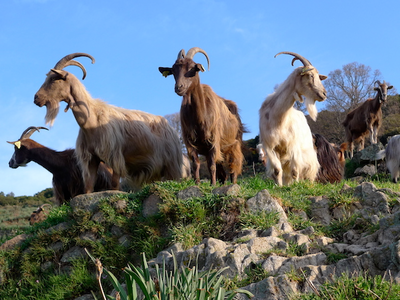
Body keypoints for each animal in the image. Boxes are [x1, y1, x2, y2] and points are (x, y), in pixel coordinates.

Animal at [158, 47, 245, 185]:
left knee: (233, 166)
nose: (179, 87)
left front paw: (212, 184)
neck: (200, 117)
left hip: (234, 145)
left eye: (192, 68)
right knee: (222, 172)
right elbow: (196, 164)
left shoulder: (214, 141)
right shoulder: (190, 142)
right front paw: (197, 183)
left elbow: (211, 165)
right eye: (173, 70)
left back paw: (233, 183)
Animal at [260, 52, 328, 186]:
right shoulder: (269, 147)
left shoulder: (294, 147)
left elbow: (295, 171)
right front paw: (279, 186)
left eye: (319, 76)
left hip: (308, 156)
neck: (278, 120)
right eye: (310, 75)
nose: (324, 94)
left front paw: (296, 186)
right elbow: (277, 170)